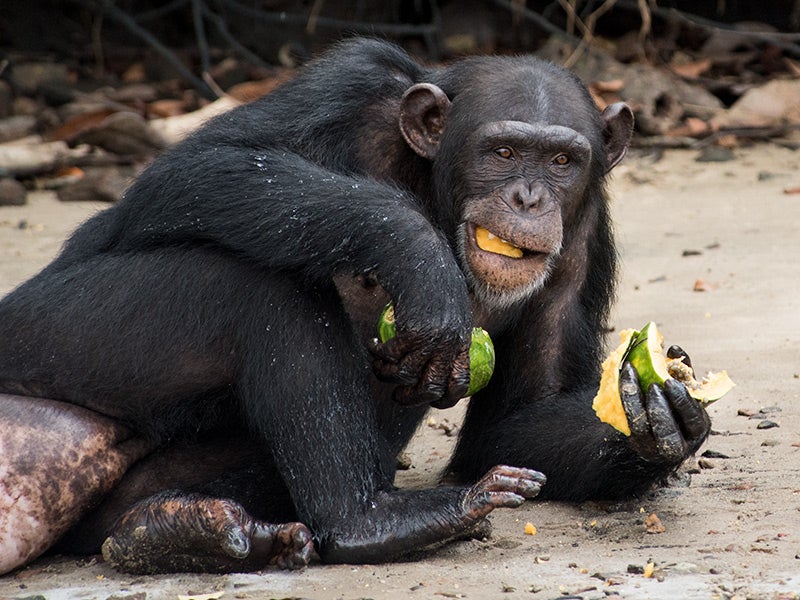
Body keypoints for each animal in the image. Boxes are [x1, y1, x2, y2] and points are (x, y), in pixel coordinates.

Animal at [0, 38, 712, 576]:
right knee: (251, 290)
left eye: (563, 160)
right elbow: (196, 171)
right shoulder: (349, 87)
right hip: (59, 333)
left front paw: (661, 423)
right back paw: (374, 522)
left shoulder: (585, 233)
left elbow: (519, 418)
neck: (432, 182)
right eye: (503, 151)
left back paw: (177, 530)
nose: (530, 198)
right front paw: (416, 254)